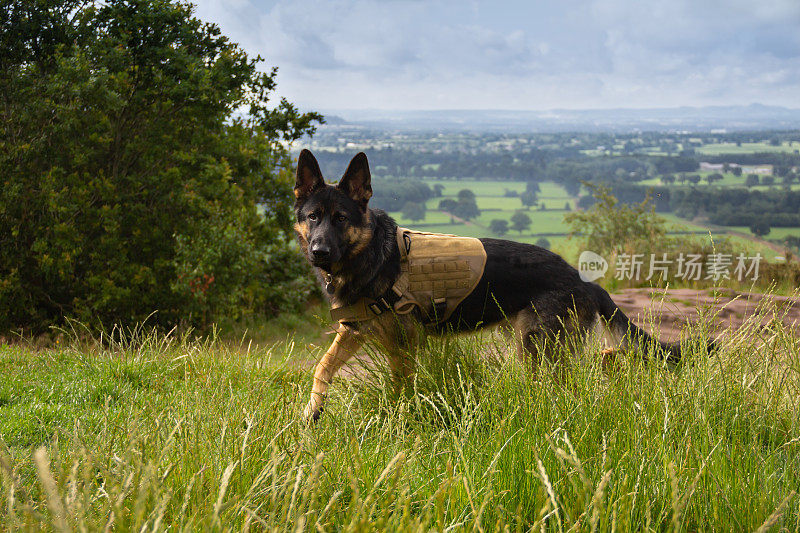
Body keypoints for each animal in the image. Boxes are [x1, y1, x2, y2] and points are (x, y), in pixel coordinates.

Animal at [296, 149, 692, 420]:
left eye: (341, 219)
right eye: (313, 217)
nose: (319, 252)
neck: (367, 253)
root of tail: (584, 279)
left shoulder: (402, 347)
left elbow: (400, 390)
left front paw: (401, 419)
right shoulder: (353, 332)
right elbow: (322, 366)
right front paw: (313, 409)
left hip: (539, 349)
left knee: (583, 375)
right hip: (536, 349)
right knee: (597, 363)